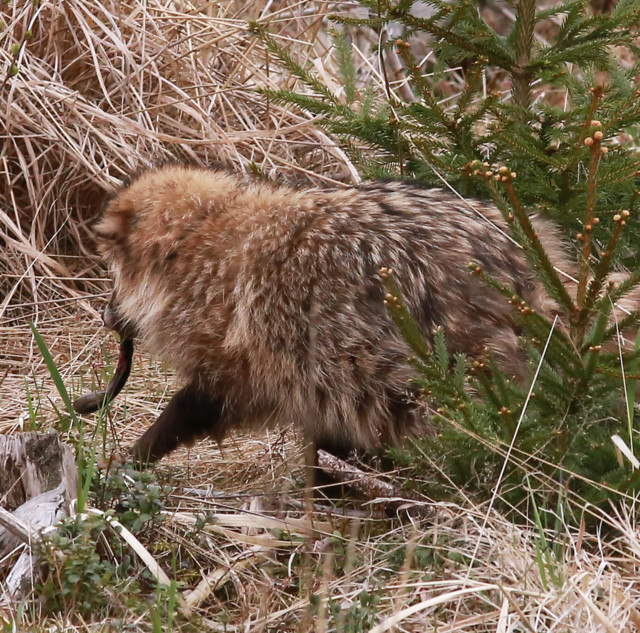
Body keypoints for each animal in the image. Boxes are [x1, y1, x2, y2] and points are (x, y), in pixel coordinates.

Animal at [85, 165, 568, 462]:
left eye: (113, 275)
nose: (107, 316)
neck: (205, 240)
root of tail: (525, 276)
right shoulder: (317, 384)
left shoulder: (239, 373)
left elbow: (177, 416)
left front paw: (126, 464)